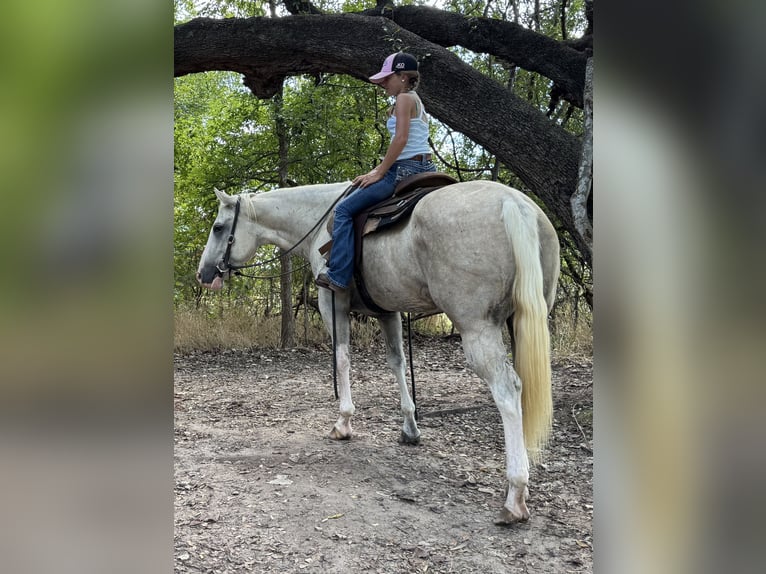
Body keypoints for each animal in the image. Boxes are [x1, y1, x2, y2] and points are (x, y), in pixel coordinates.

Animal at [196, 180, 560, 524]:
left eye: (218, 227)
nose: (204, 274)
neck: (320, 221)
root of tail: (512, 203)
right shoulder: (389, 311)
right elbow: (397, 362)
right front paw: (410, 427)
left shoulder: (332, 304)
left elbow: (342, 358)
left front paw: (343, 422)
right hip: (521, 322)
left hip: (477, 330)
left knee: (508, 390)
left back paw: (515, 493)